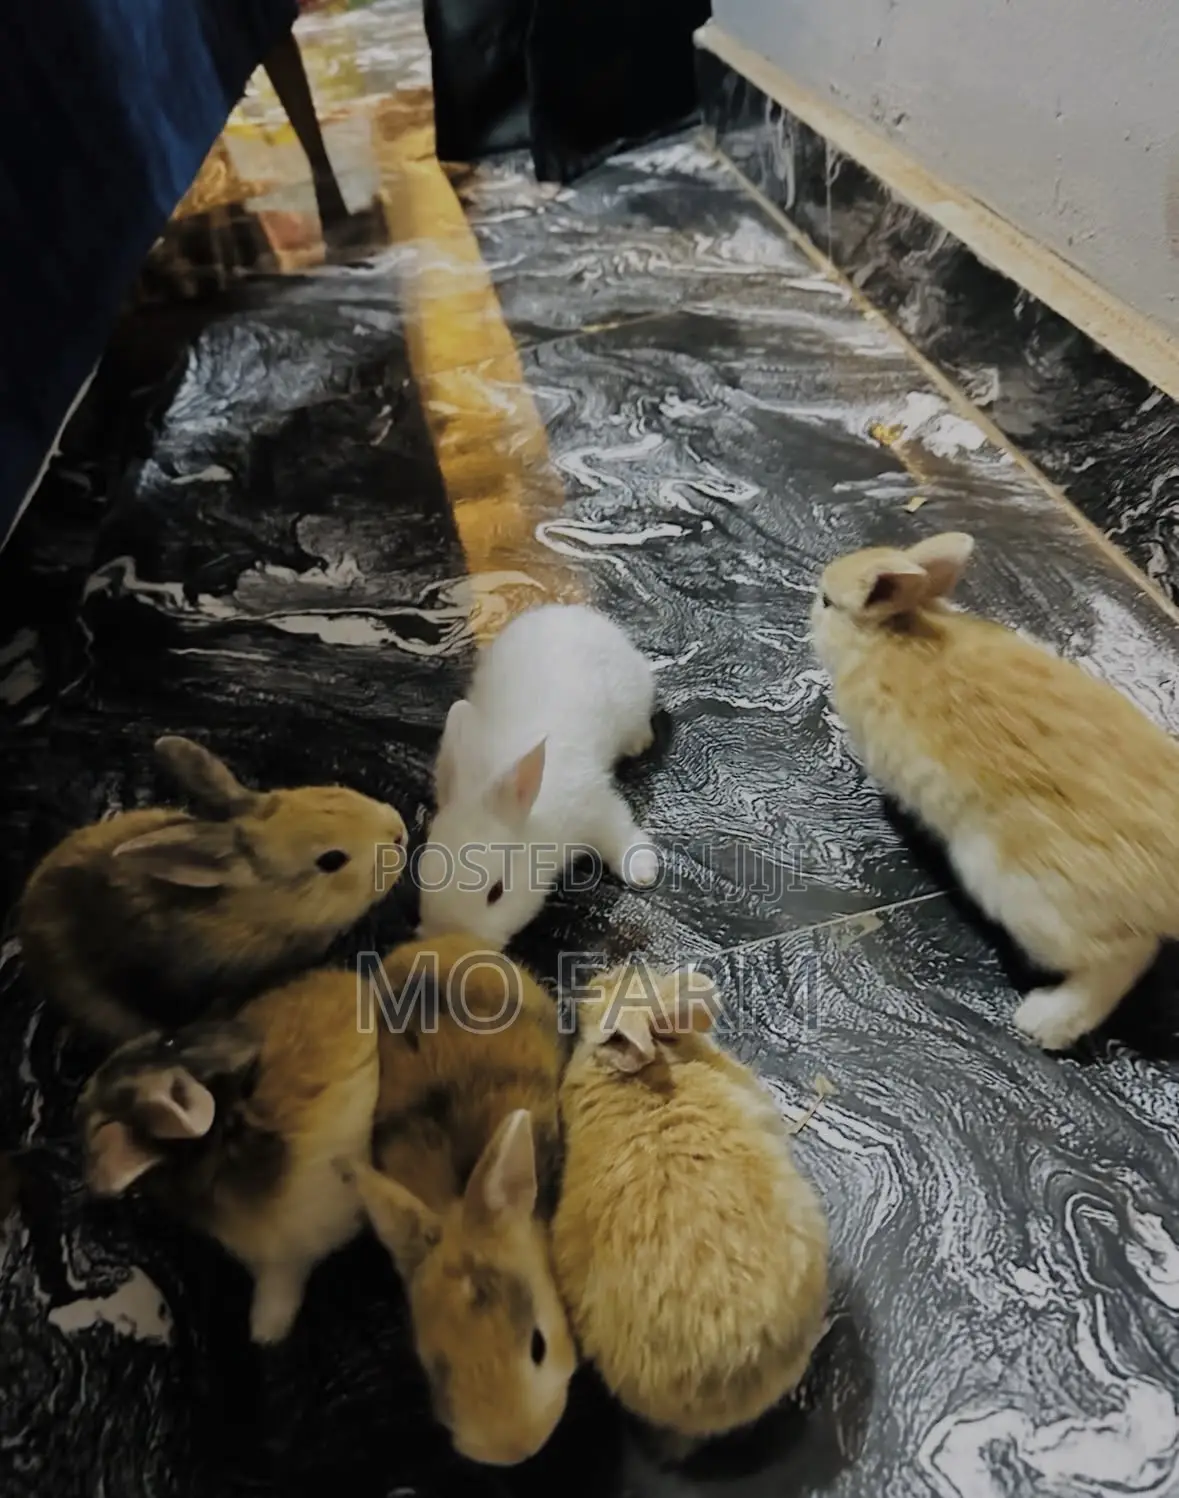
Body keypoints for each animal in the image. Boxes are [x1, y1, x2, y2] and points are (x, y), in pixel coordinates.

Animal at [416, 603, 659, 947]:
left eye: (497, 892)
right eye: (424, 875)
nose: (447, 939)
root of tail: (572, 613)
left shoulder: (594, 808)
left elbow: (618, 831)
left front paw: (643, 870)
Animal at [811, 530, 1179, 1050]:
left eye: (827, 601)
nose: (810, 608)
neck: (892, 636)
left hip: (1022, 892)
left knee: (1123, 960)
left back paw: (1045, 1021)